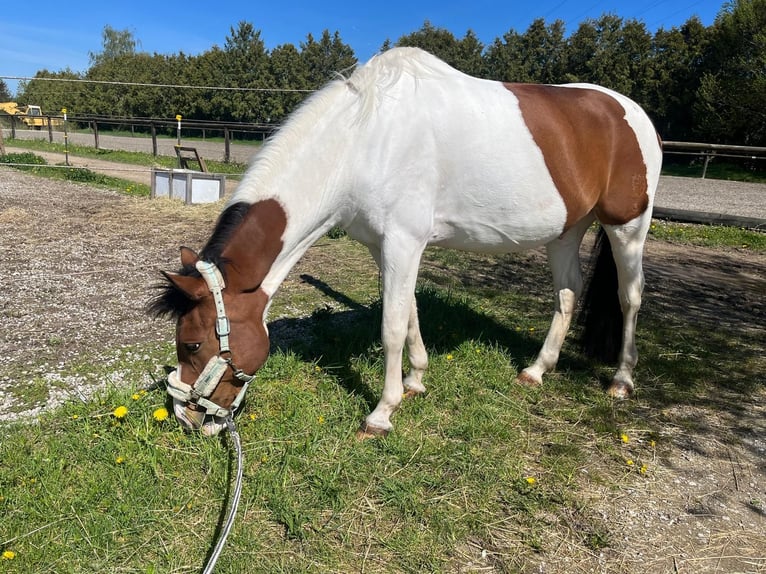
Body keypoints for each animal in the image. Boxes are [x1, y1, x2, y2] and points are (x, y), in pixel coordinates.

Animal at [149, 47, 662, 438]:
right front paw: (416, 380)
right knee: (567, 293)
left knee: (630, 296)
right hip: (566, 231)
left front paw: (382, 413)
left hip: (627, 226)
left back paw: (621, 379)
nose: (188, 418)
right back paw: (537, 369)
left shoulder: (403, 241)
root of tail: (634, 113)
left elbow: (391, 326)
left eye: (192, 344)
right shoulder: (387, 247)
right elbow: (409, 311)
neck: (363, 141)